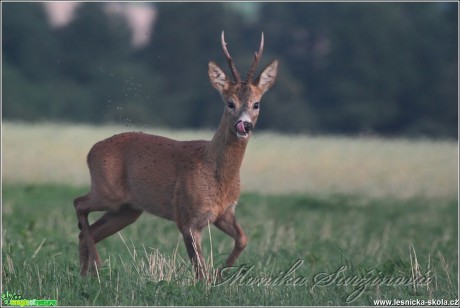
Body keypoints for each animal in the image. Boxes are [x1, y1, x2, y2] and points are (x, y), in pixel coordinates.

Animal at [73, 31, 278, 280]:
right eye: (230, 103)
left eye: (256, 104)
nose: (244, 125)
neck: (216, 175)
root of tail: (91, 151)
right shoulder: (186, 216)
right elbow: (199, 268)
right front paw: (210, 281)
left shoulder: (224, 213)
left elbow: (242, 239)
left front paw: (221, 274)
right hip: (108, 193)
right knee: (79, 204)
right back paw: (97, 266)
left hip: (127, 210)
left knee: (86, 232)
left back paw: (86, 274)